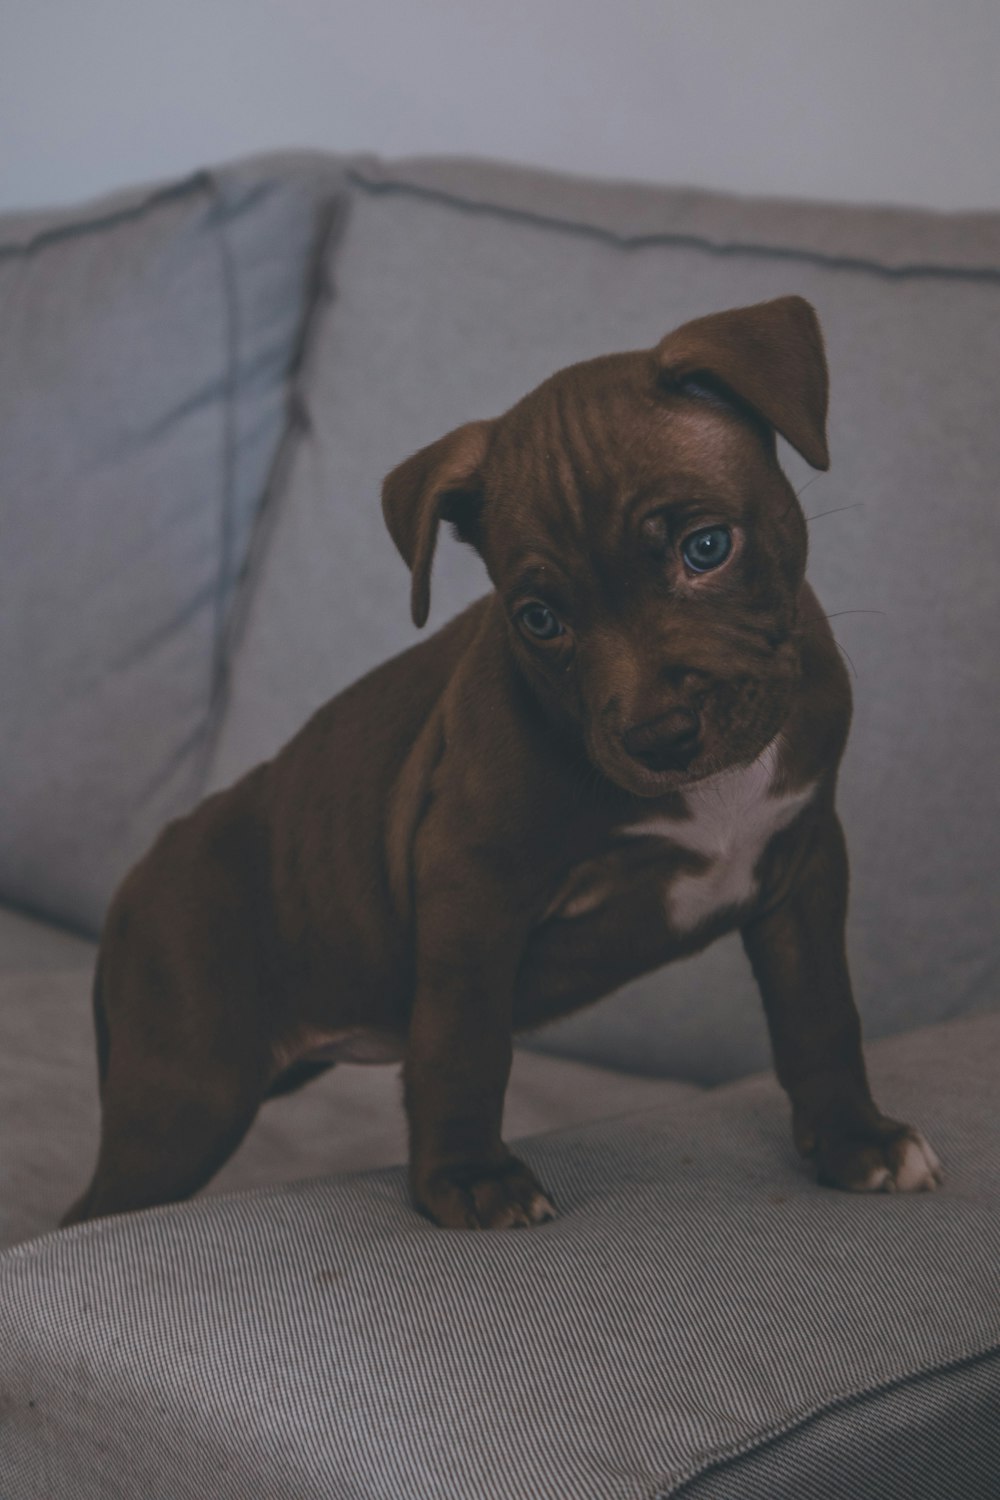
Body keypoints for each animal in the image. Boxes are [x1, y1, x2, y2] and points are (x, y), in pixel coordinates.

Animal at [66, 295, 941, 1230]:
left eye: (707, 548)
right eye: (539, 619)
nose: (660, 735)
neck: (712, 794)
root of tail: (139, 879)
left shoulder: (804, 862)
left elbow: (820, 1009)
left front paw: (856, 1139)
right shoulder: (475, 887)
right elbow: (465, 1040)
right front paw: (469, 1177)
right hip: (187, 1093)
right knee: (96, 1209)